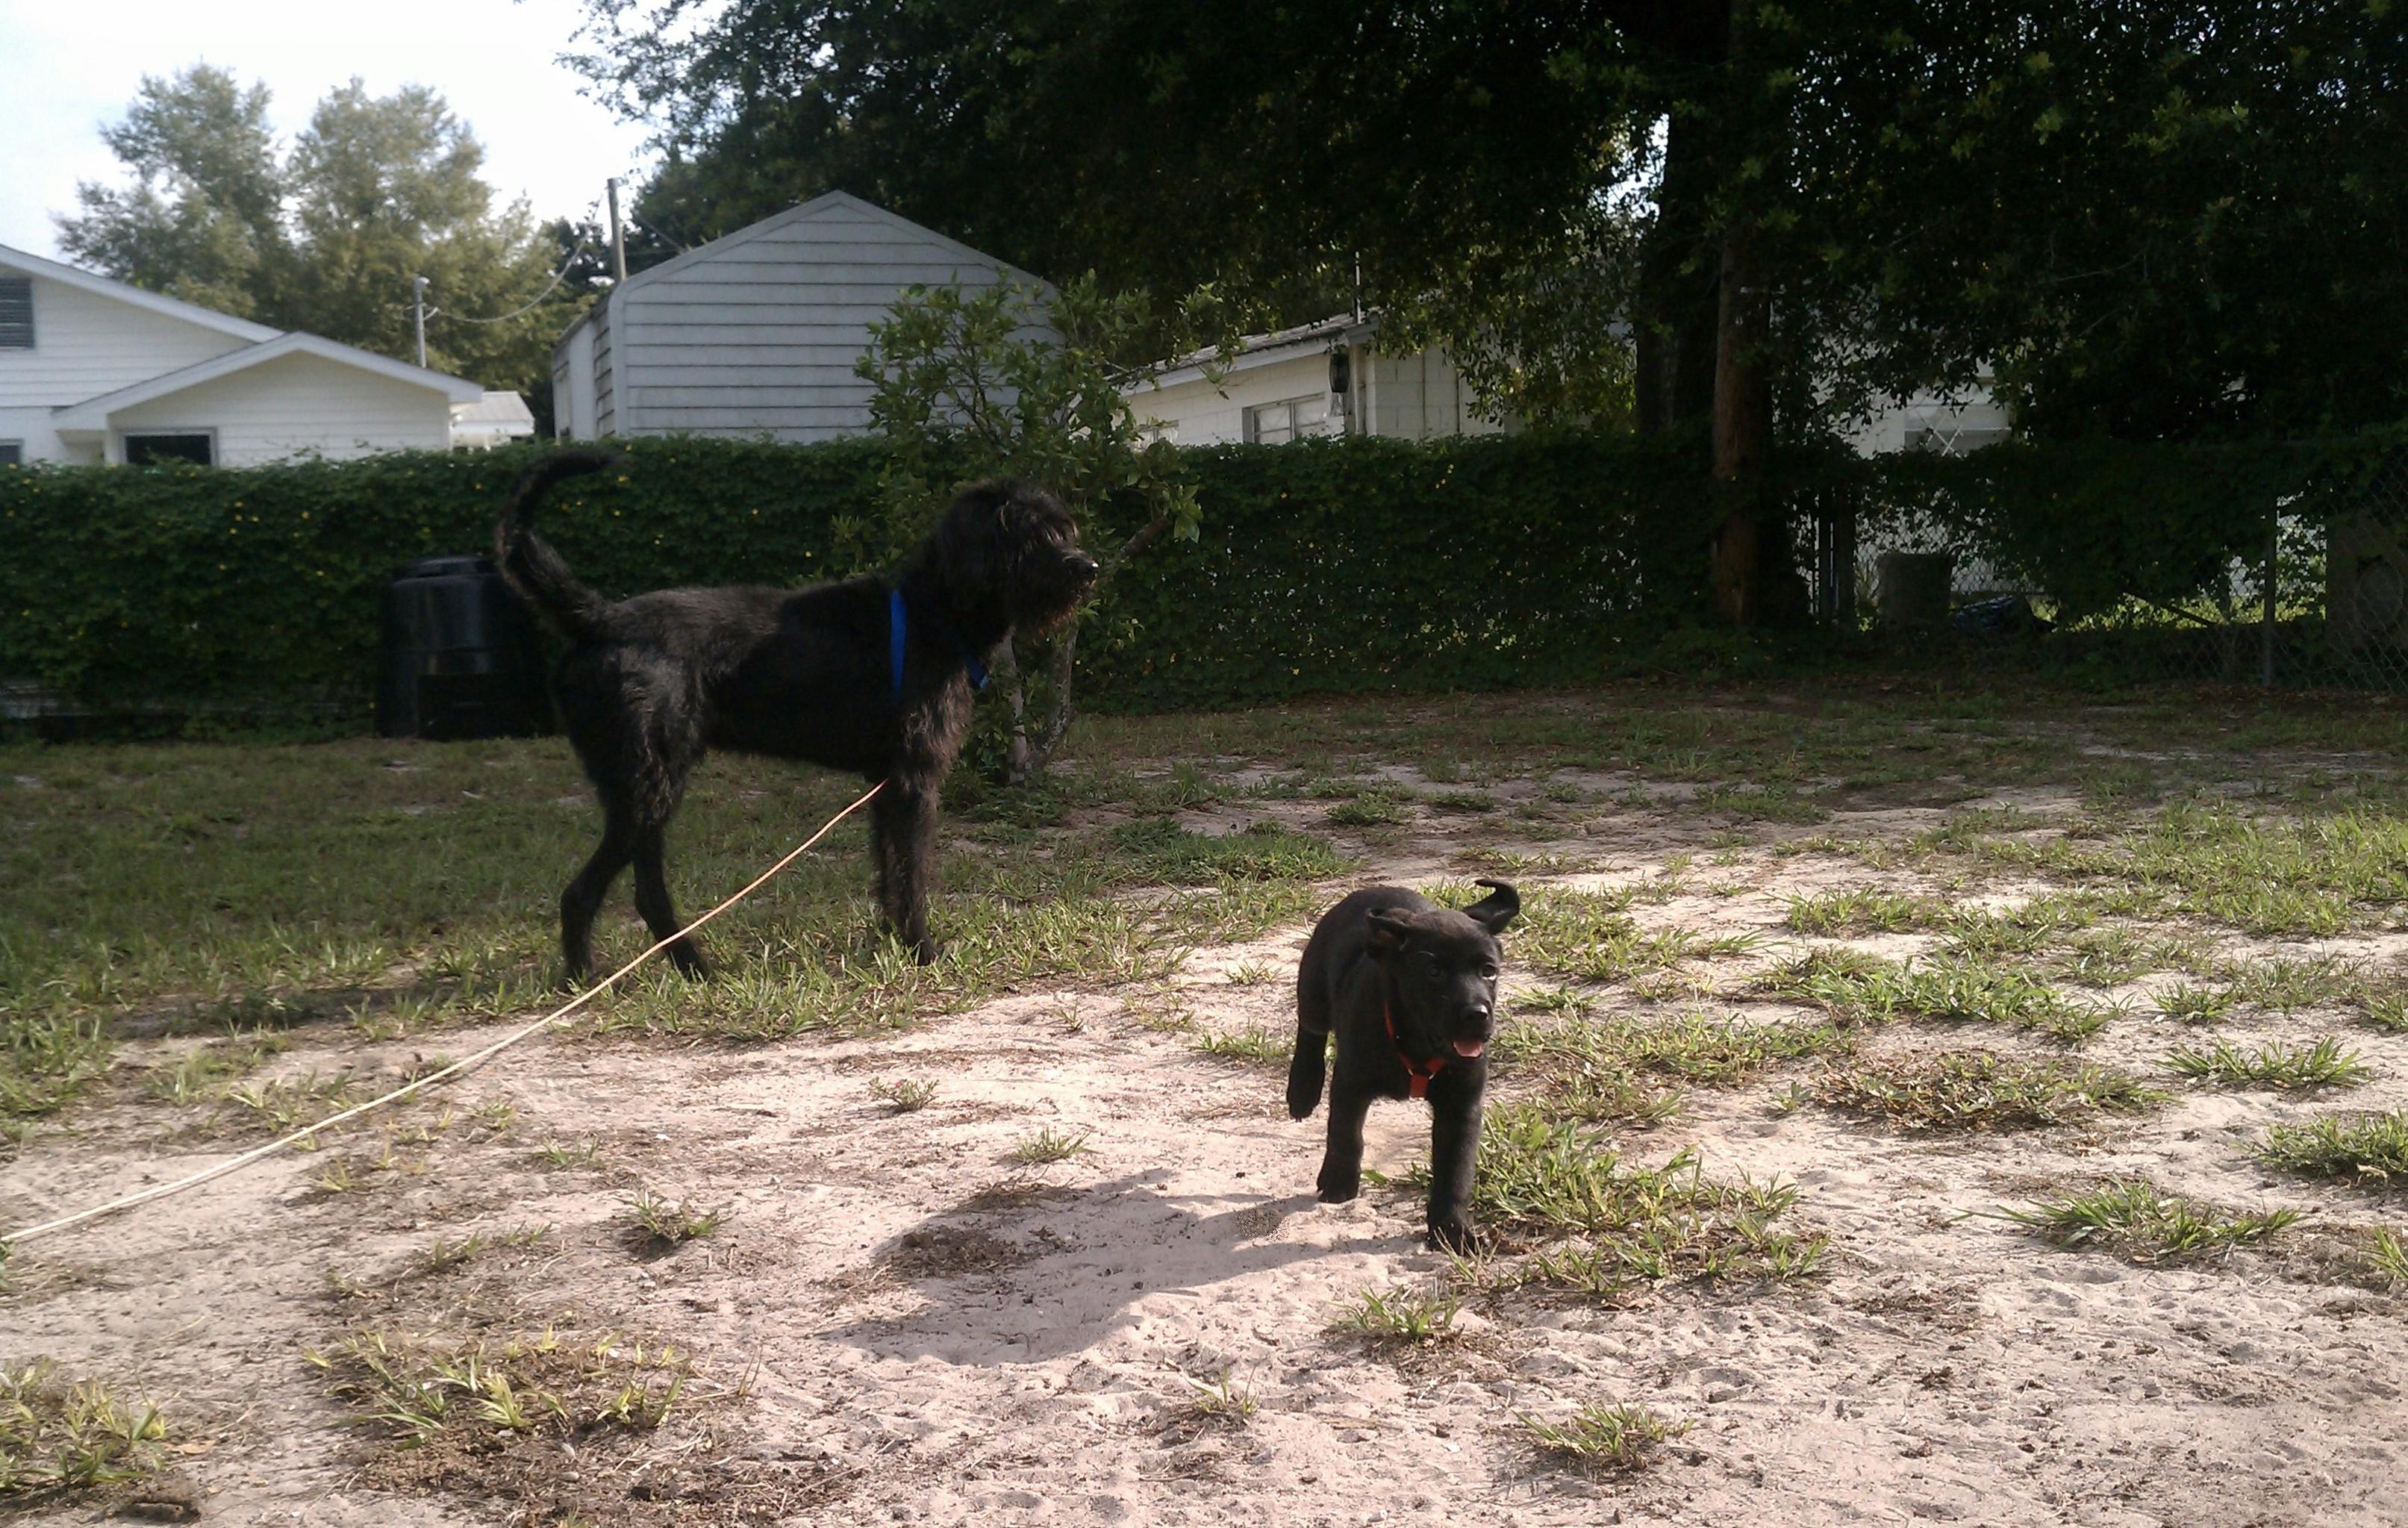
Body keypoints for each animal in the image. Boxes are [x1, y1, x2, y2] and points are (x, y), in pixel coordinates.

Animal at [493, 449, 1098, 981]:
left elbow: (888, 870)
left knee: (646, 893)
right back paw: (585, 979)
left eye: (1065, 529)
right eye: (1032, 534)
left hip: (647, 792)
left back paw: (695, 971)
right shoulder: (914, 781)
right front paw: (923, 950)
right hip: (646, 791)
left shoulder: (885, 785)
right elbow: (912, 873)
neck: (936, 610)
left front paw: (891, 944)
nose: (1088, 567)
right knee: (582, 893)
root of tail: (601, 619)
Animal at [1287, 879, 1520, 1251]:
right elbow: (1345, 1135)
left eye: (1489, 971)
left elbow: (1455, 1169)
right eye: (1434, 972)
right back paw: (1302, 1091)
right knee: (1310, 1030)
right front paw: (1339, 1182)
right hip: (1314, 991)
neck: (1417, 1043)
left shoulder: (1461, 1106)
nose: (1477, 1015)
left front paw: (1452, 1229)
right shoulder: (1351, 1083)